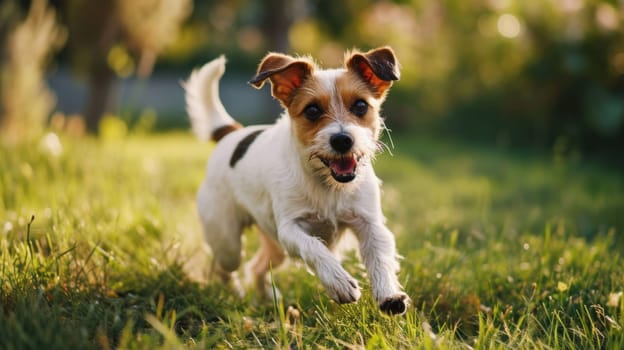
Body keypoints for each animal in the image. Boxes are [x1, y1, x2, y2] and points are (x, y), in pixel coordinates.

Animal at [185, 46, 410, 314]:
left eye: (360, 106)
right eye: (312, 110)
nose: (342, 140)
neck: (327, 184)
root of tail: (232, 133)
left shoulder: (370, 224)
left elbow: (380, 258)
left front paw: (389, 294)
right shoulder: (290, 229)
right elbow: (314, 248)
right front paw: (338, 281)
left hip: (274, 246)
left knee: (256, 266)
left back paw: (267, 297)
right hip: (228, 243)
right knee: (224, 266)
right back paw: (233, 291)